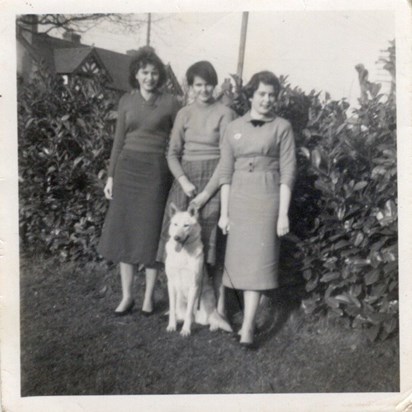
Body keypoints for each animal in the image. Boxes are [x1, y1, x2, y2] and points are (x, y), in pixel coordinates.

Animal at [166, 204, 233, 336]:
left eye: (186, 225)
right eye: (175, 224)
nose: (176, 238)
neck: (183, 253)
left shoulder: (194, 285)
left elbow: (188, 313)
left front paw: (186, 330)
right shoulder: (171, 283)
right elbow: (172, 309)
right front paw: (172, 325)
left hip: (206, 300)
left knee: (210, 318)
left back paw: (213, 326)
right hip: (180, 301)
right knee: (183, 314)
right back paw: (179, 319)